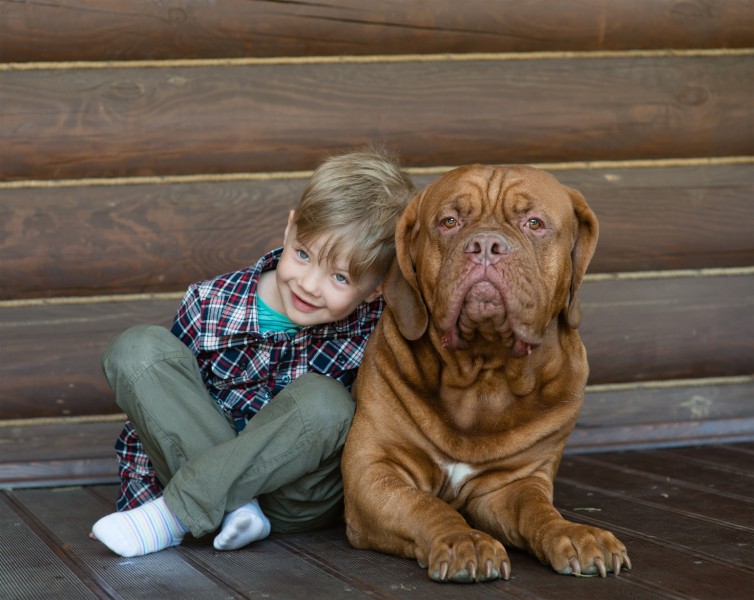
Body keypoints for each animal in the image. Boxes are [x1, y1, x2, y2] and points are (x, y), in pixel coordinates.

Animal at [340, 163, 628, 580]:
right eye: (449, 221)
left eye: (534, 223)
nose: (487, 245)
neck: (484, 374)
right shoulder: (375, 470)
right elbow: (425, 505)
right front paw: (464, 540)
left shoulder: (512, 484)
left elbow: (537, 512)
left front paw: (574, 533)